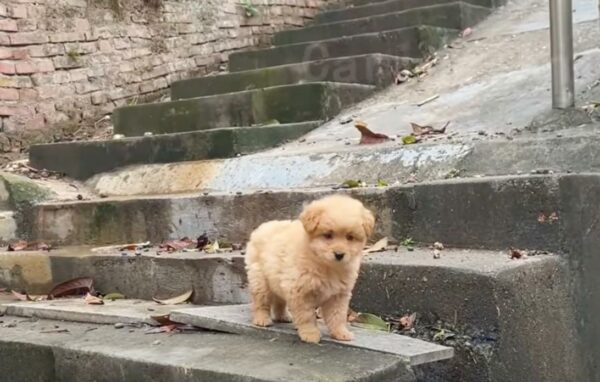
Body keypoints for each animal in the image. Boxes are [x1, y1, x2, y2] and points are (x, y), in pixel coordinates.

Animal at [244, 194, 376, 344]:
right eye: (328, 235)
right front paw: (310, 334)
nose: (339, 254)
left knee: (279, 300)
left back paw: (283, 316)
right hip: (260, 279)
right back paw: (262, 319)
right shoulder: (301, 292)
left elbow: (337, 316)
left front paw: (341, 333)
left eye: (350, 237)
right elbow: (306, 316)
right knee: (261, 301)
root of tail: (263, 226)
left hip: (277, 280)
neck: (325, 265)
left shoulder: (338, 295)